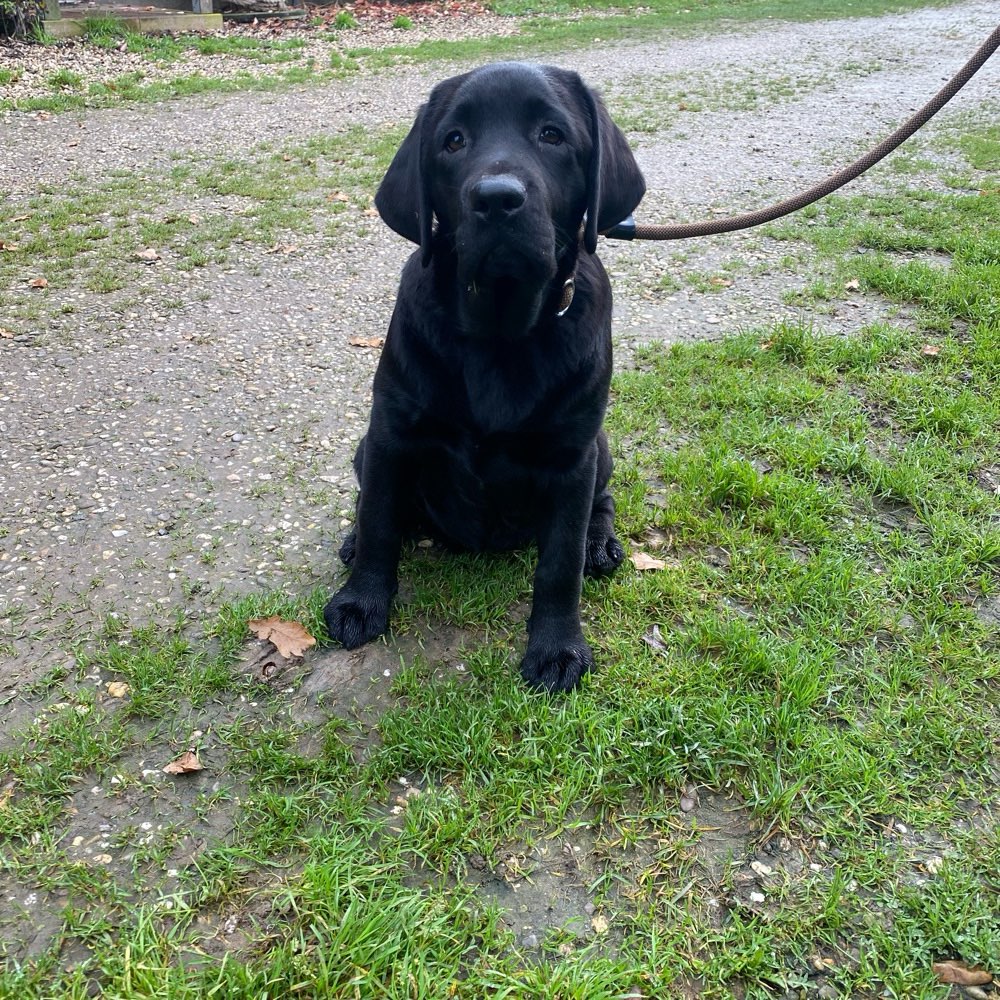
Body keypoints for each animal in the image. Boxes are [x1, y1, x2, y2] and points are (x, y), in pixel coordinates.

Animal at [324, 60, 644, 688]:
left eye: (552, 135)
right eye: (453, 142)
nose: (497, 199)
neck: (500, 333)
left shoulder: (571, 456)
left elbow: (559, 563)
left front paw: (557, 648)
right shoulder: (390, 432)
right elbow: (378, 523)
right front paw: (360, 601)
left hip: (599, 446)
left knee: (601, 503)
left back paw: (600, 544)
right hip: (365, 446)